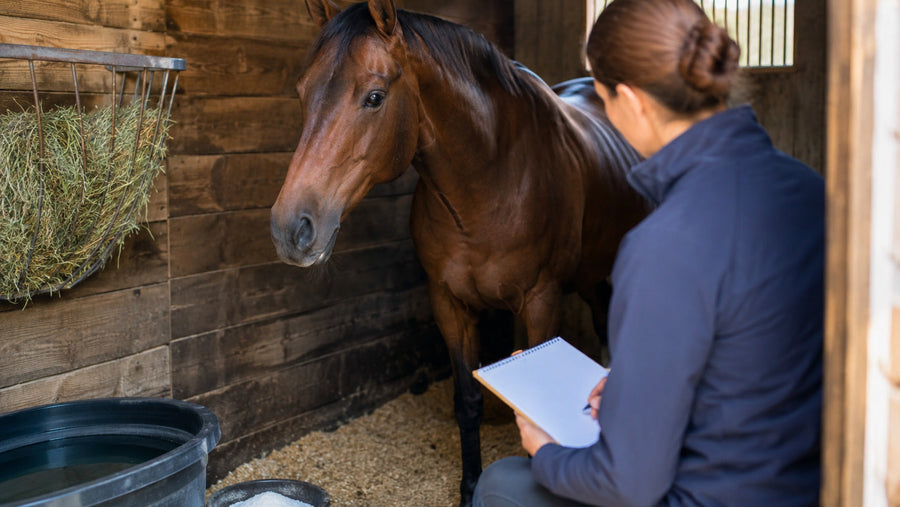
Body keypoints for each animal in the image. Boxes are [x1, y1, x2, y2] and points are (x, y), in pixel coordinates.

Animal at [270, 0, 651, 504]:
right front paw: (471, 487)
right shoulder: (449, 303)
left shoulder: (542, 302)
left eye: (374, 97)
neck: (491, 181)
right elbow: (467, 402)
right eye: (301, 92)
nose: (289, 228)